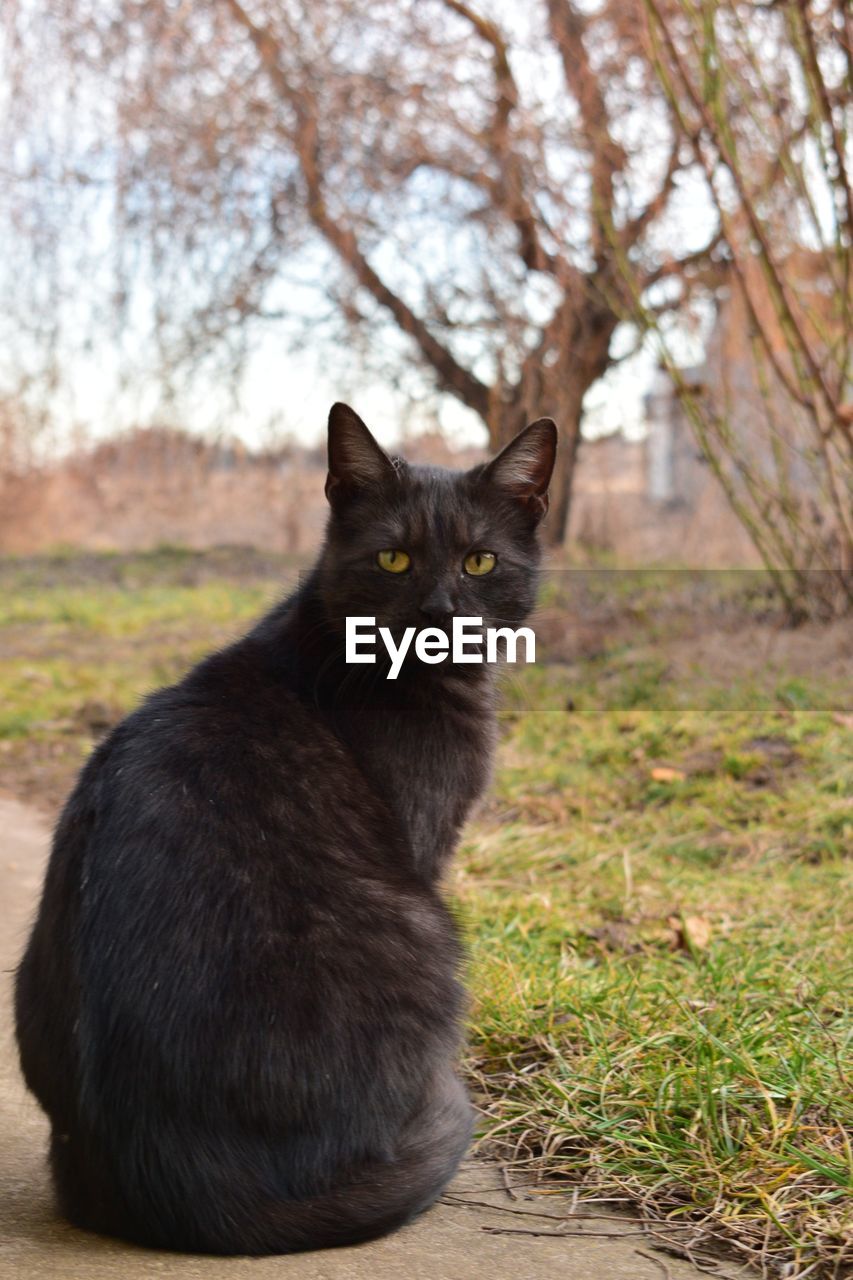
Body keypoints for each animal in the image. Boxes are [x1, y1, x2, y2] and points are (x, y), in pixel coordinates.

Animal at [16, 404, 558, 1254]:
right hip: (427, 927)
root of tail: (175, 1173)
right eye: (393, 558)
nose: (438, 614)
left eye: (478, 562)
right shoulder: (425, 842)